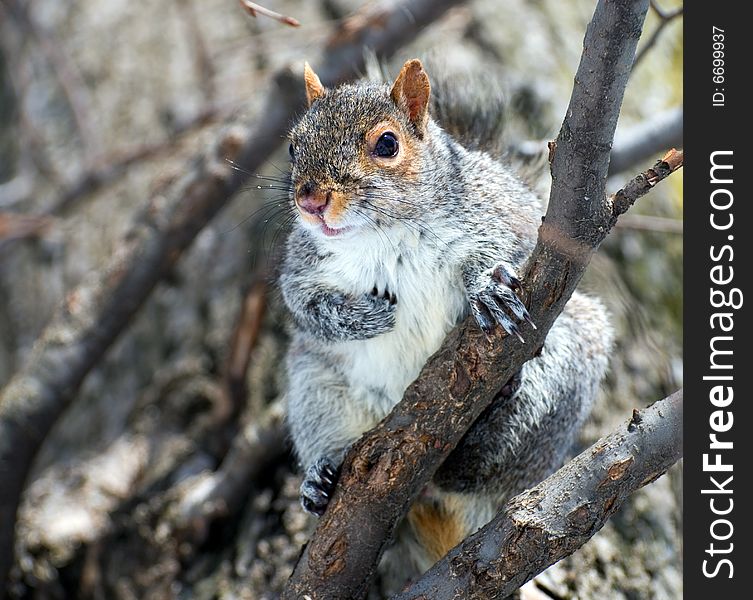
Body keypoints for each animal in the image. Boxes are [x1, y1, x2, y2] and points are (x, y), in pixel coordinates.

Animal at [280, 58, 612, 592]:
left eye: (387, 144)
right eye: (293, 146)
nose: (310, 201)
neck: (381, 235)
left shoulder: (505, 220)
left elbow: (508, 252)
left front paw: (486, 289)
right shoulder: (301, 266)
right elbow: (306, 306)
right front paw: (363, 317)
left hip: (568, 368)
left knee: (477, 470)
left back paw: (496, 406)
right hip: (315, 386)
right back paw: (321, 479)